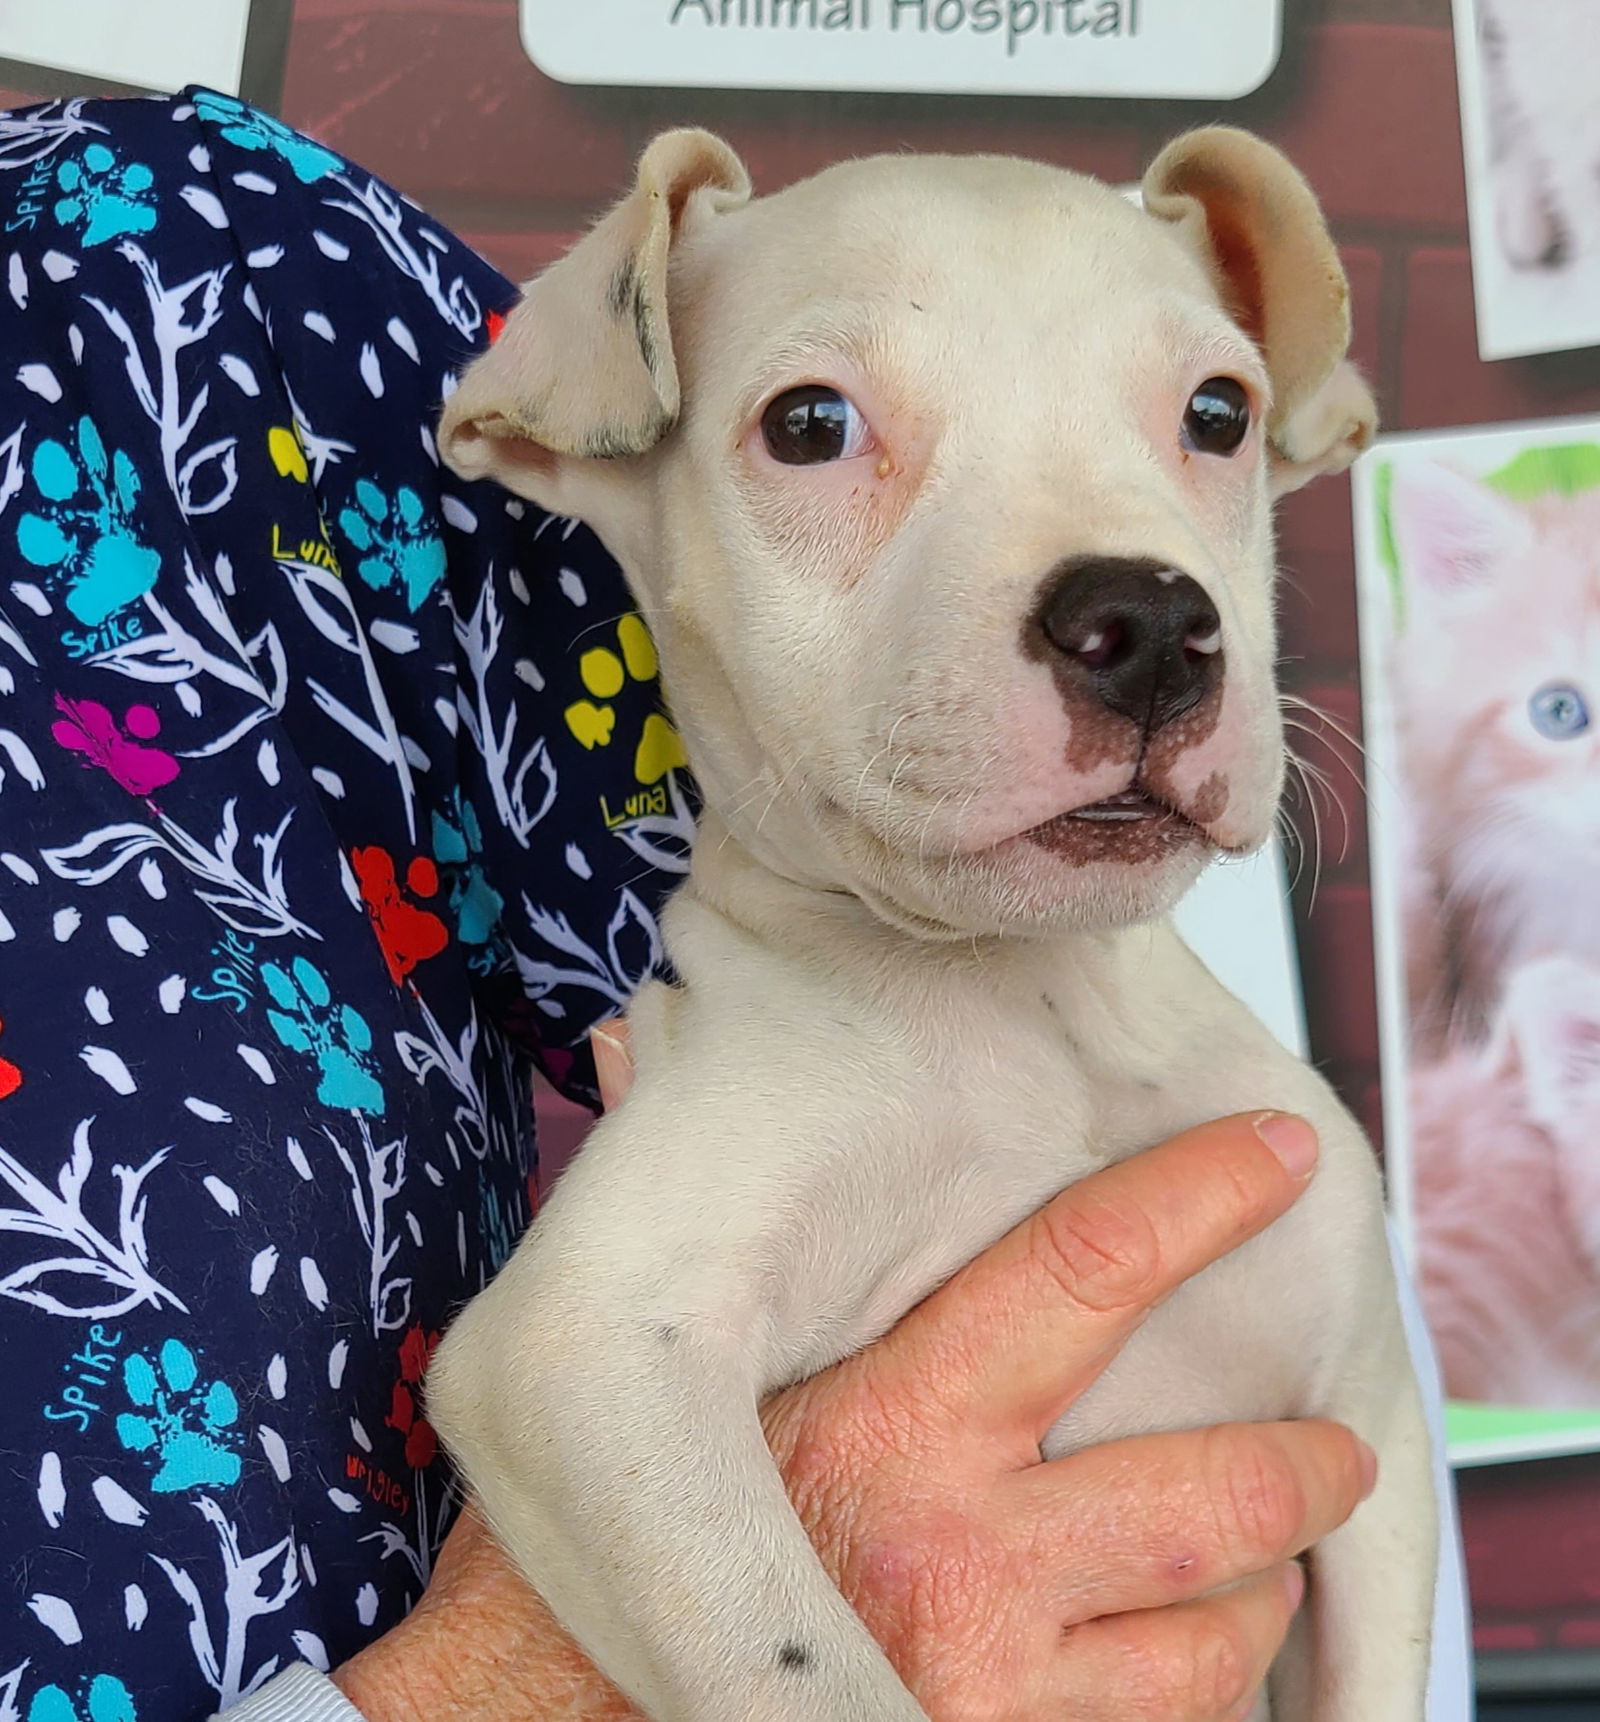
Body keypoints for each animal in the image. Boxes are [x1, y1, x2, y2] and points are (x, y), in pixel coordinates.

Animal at [427, 124, 1432, 1722]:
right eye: (808, 425)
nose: (1150, 628)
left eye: (1218, 412)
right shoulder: (585, 1353)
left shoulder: (1372, 1439)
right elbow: (807, 1665)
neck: (1039, 1005)